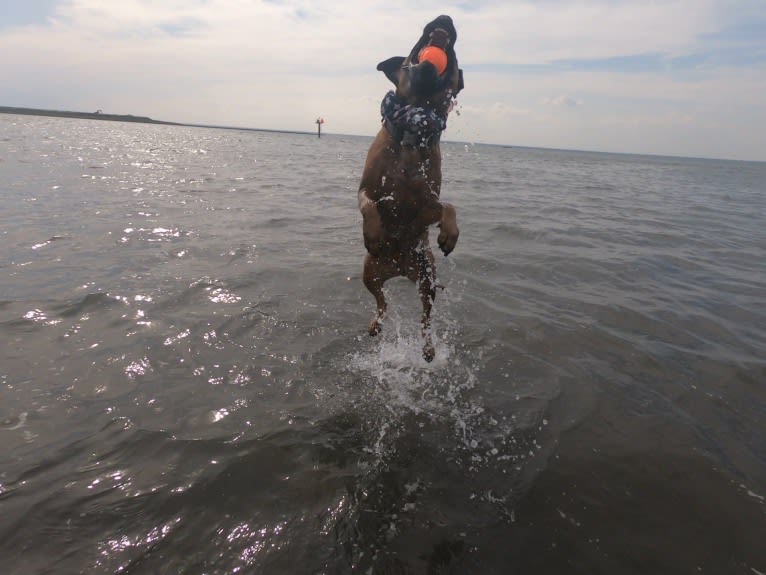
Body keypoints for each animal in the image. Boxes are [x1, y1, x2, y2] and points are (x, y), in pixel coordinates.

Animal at [358, 15, 462, 362]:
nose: (445, 17)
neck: (411, 129)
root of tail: (400, 267)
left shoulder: (426, 205)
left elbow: (448, 206)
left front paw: (449, 233)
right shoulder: (366, 187)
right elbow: (368, 204)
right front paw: (374, 232)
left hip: (427, 278)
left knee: (425, 319)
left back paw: (428, 349)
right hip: (369, 272)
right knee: (382, 302)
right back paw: (376, 324)